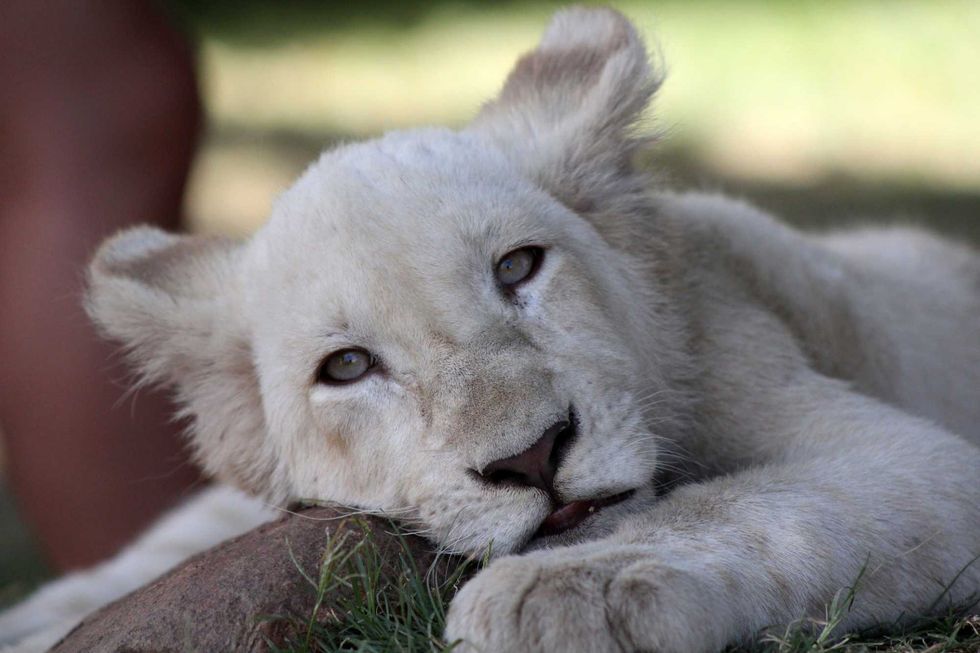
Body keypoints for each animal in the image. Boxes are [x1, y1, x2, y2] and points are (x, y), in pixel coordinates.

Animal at [2, 7, 978, 652]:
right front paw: (45, 617)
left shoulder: (915, 457)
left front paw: (553, 594)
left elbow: (749, 506)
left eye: (517, 267)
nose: (534, 457)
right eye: (346, 366)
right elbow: (185, 531)